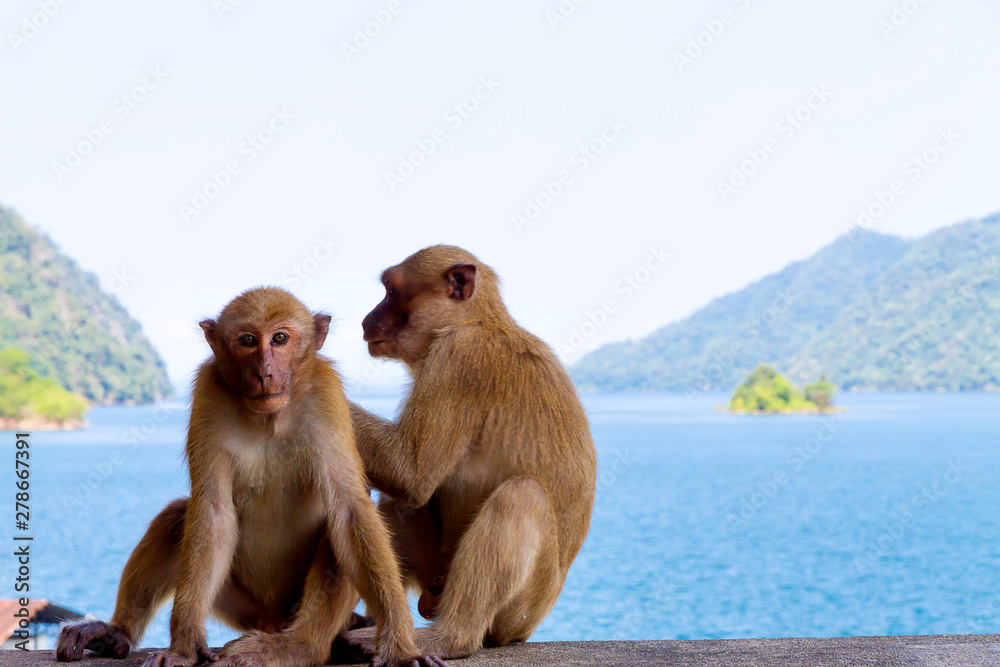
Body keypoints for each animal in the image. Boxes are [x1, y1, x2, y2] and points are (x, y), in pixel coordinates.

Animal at [56, 287, 443, 667]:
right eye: (247, 340)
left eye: (280, 338)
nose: (264, 372)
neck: (268, 418)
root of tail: (273, 620)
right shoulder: (209, 394)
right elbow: (213, 511)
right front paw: (185, 646)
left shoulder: (326, 394)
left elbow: (349, 511)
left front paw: (401, 651)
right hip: (241, 606)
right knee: (177, 517)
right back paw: (115, 631)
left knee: (336, 529)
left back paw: (299, 646)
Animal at [336, 246, 597, 660]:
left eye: (391, 291)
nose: (368, 318)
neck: (474, 321)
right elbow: (408, 486)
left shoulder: (459, 358)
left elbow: (411, 473)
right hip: (438, 574)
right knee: (398, 503)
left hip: (520, 611)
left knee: (520, 496)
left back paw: (450, 638)